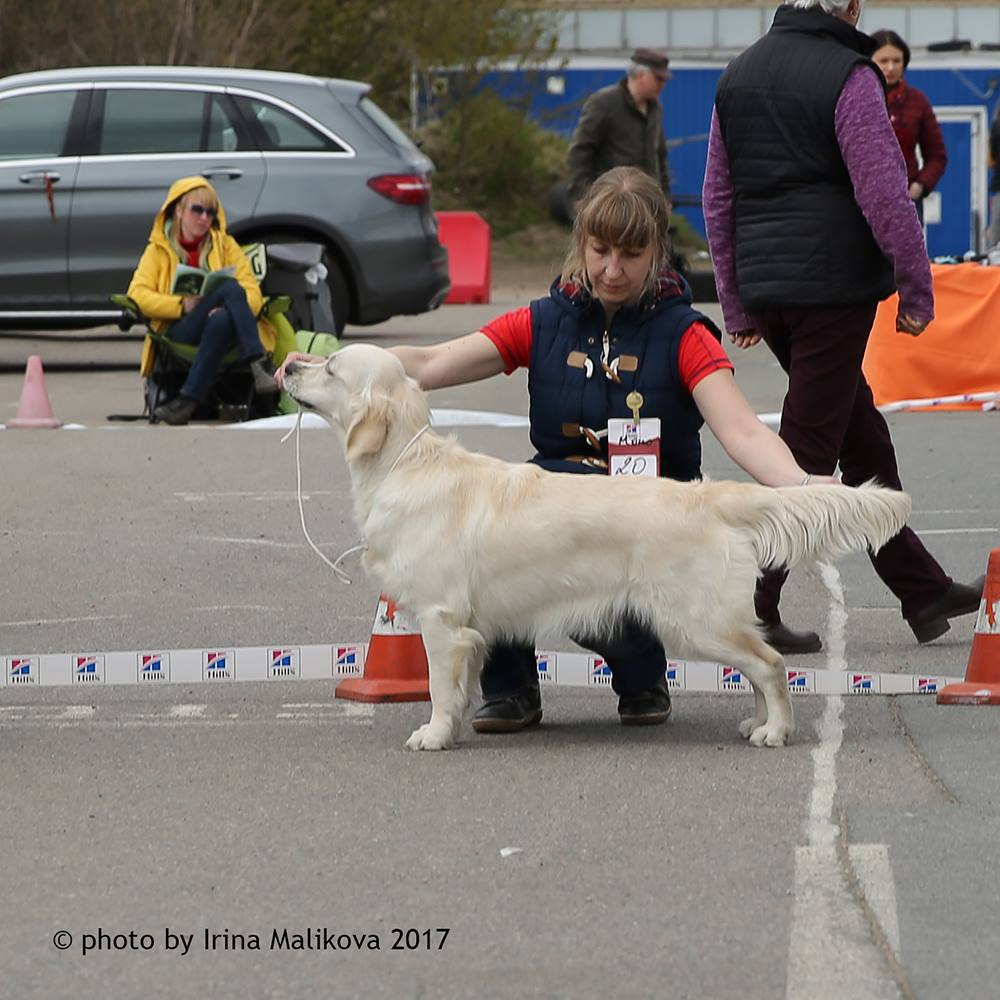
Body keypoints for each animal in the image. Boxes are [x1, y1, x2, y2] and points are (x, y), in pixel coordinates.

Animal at [284, 344, 916, 752]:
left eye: (331, 367)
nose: (288, 362)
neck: (404, 464)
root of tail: (709, 496)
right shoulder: (467, 627)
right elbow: (460, 689)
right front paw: (457, 727)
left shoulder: (442, 619)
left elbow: (441, 687)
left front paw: (434, 735)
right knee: (759, 667)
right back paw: (755, 723)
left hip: (697, 620)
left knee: (771, 663)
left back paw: (775, 731)